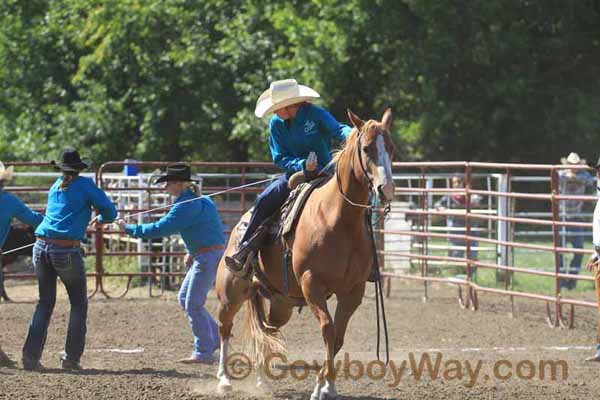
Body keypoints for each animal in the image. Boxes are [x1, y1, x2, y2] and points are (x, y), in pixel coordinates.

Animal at [213, 108, 396, 398]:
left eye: (391, 148)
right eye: (367, 148)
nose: (386, 189)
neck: (338, 219)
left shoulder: (353, 291)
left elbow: (338, 337)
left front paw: (327, 386)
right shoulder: (312, 284)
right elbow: (328, 330)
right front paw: (322, 387)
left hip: (280, 303)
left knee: (268, 329)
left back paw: (261, 379)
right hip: (230, 292)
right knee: (224, 327)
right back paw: (224, 380)